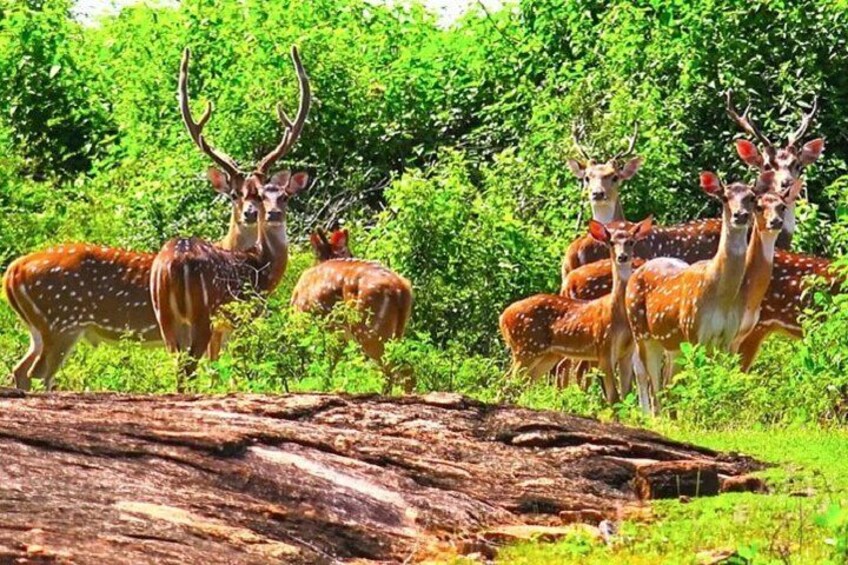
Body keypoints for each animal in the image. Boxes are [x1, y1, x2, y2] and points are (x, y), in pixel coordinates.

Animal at [1, 46, 264, 390]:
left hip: (39, 329)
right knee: (38, 372)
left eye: (261, 192)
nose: (251, 213)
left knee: (20, 368)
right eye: (234, 194)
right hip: (62, 321)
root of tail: (11, 273)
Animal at [152, 46, 312, 386]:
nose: (259, 213)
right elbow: (239, 369)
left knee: (178, 367)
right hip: (203, 315)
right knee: (188, 368)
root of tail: (173, 265)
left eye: (263, 193)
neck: (261, 266)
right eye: (236, 194)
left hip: (165, 317)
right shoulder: (244, 317)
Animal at [292, 227, 414, 390]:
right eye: (349, 252)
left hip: (370, 329)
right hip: (396, 331)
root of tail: (401, 289)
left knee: (399, 371)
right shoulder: (339, 336)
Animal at [500, 217, 652, 406]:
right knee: (507, 383)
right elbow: (614, 398)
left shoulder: (626, 353)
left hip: (545, 355)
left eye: (631, 242)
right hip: (525, 348)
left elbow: (626, 395)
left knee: (521, 384)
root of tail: (502, 318)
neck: (618, 317)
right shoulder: (604, 348)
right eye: (611, 242)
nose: (622, 256)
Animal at [624, 170, 776, 412]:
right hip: (641, 331)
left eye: (752, 197)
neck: (722, 296)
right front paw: (697, 411)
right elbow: (696, 379)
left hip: (673, 343)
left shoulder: (728, 336)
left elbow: (720, 378)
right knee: (653, 384)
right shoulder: (694, 331)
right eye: (724, 197)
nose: (740, 215)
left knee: (666, 382)